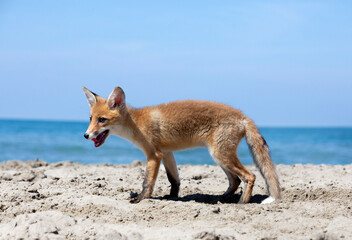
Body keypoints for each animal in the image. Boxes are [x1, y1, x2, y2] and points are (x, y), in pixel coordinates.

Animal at [82, 86, 280, 204]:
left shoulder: (153, 155)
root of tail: (243, 116)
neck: (136, 123)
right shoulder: (167, 153)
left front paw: (140, 199)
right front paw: (172, 197)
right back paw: (220, 199)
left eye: (102, 120)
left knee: (250, 176)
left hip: (221, 155)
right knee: (236, 180)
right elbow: (174, 180)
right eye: (91, 118)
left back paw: (242, 203)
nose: (86, 135)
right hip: (220, 157)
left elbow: (147, 182)